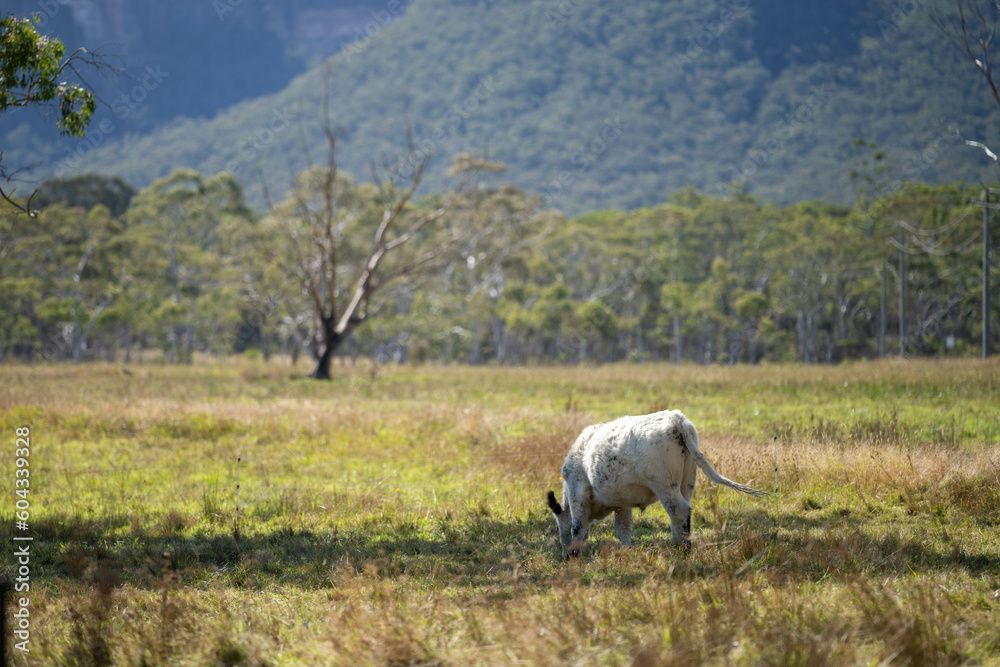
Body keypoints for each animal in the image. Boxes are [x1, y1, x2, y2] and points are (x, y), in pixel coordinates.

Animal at [548, 412, 764, 560]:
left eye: (558, 527)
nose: (565, 556)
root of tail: (675, 417)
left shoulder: (578, 495)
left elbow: (578, 528)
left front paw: (576, 553)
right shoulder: (622, 504)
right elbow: (623, 530)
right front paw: (626, 552)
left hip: (665, 487)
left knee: (680, 511)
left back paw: (682, 550)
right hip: (686, 484)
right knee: (680, 516)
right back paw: (678, 545)